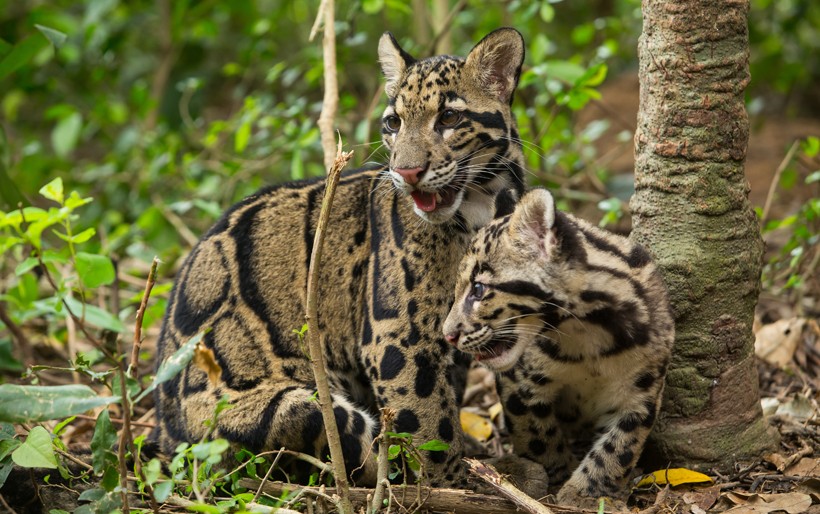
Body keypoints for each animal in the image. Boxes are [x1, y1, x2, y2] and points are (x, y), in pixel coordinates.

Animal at [152, 28, 524, 484]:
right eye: (394, 123)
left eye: (450, 119)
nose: (406, 172)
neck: (481, 203)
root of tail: (167, 434)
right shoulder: (398, 336)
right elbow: (427, 424)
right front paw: (450, 484)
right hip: (288, 410)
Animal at [446, 187, 676, 500]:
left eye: (479, 289)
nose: (447, 334)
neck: (586, 335)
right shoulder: (520, 385)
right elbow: (537, 434)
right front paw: (556, 473)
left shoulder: (643, 392)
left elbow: (620, 446)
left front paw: (588, 494)